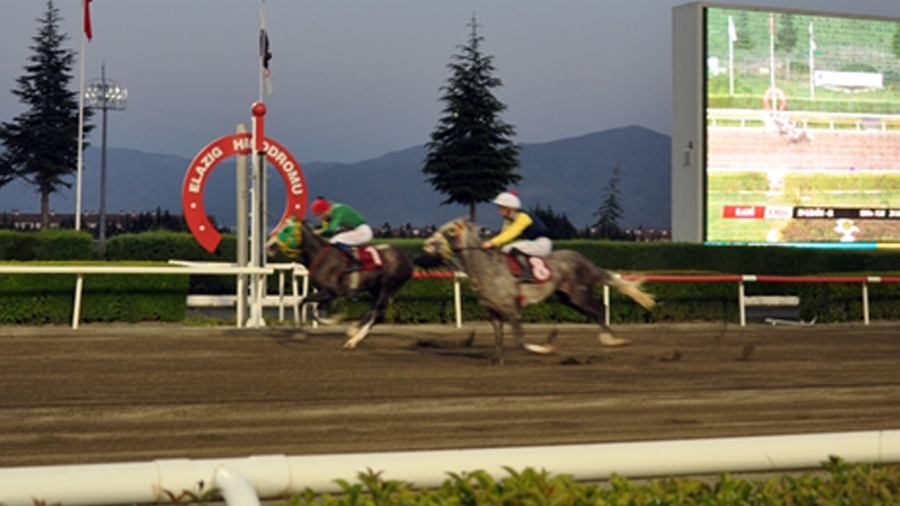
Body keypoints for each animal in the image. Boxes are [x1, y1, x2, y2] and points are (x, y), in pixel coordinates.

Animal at [268, 215, 414, 350]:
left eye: (286, 229)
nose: (269, 246)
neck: (320, 256)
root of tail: (408, 256)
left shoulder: (331, 292)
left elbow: (304, 303)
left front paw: (331, 320)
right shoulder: (324, 293)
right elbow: (311, 309)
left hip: (387, 286)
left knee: (377, 312)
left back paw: (353, 340)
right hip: (374, 288)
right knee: (378, 313)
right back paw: (354, 330)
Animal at [418, 217, 656, 364]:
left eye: (449, 230)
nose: (427, 244)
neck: (486, 270)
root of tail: (583, 259)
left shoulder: (512, 311)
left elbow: (522, 340)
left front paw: (546, 347)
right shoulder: (494, 314)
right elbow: (498, 338)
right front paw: (498, 360)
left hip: (579, 294)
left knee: (599, 309)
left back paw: (612, 340)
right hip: (568, 298)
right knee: (594, 312)